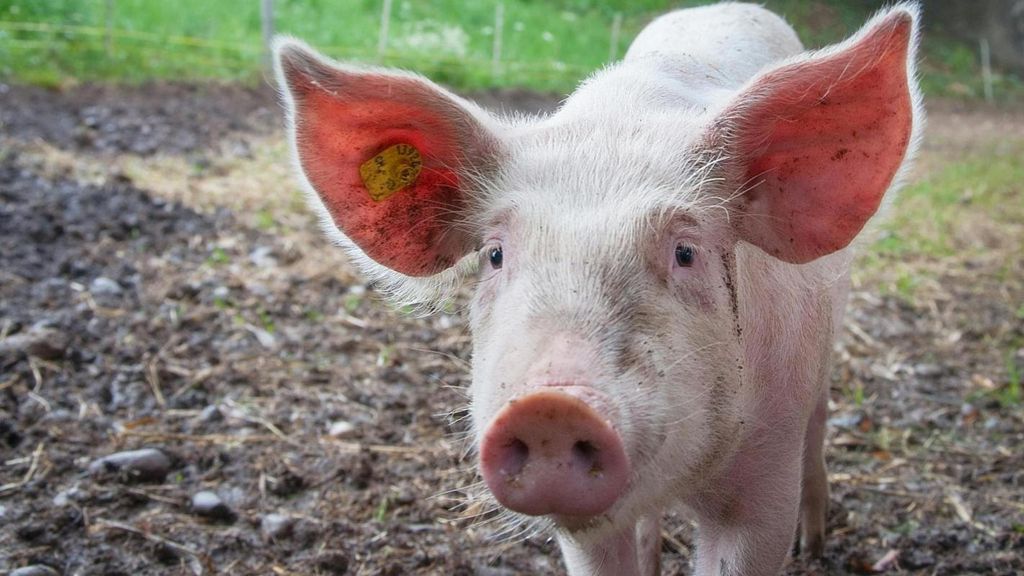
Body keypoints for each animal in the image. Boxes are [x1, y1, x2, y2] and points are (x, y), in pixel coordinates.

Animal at [273, 2, 922, 574]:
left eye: (686, 253)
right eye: (495, 255)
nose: (550, 407)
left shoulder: (764, 482)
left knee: (819, 424)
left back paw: (814, 546)